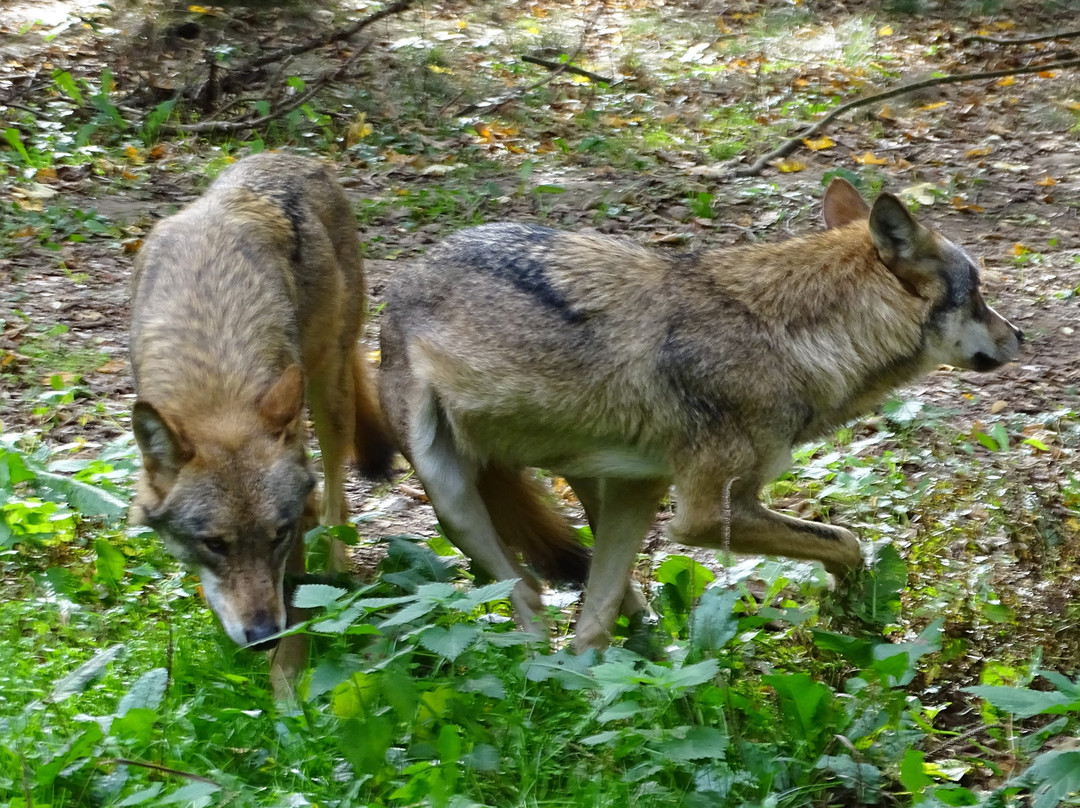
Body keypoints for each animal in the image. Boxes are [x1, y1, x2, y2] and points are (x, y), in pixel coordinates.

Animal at [130, 153, 393, 687]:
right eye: (215, 544)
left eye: (276, 536)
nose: (261, 637)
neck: (215, 382)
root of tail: (292, 156)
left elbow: (295, 603)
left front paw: (289, 692)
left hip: (329, 392)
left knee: (335, 495)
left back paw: (337, 563)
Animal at [380, 178, 1019, 648]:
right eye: (978, 294)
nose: (1018, 336)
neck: (785, 336)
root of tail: (415, 268)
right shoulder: (707, 515)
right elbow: (845, 539)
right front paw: (851, 611)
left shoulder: (661, 495)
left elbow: (596, 619)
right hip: (453, 503)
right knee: (527, 597)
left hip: (610, 486)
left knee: (594, 600)